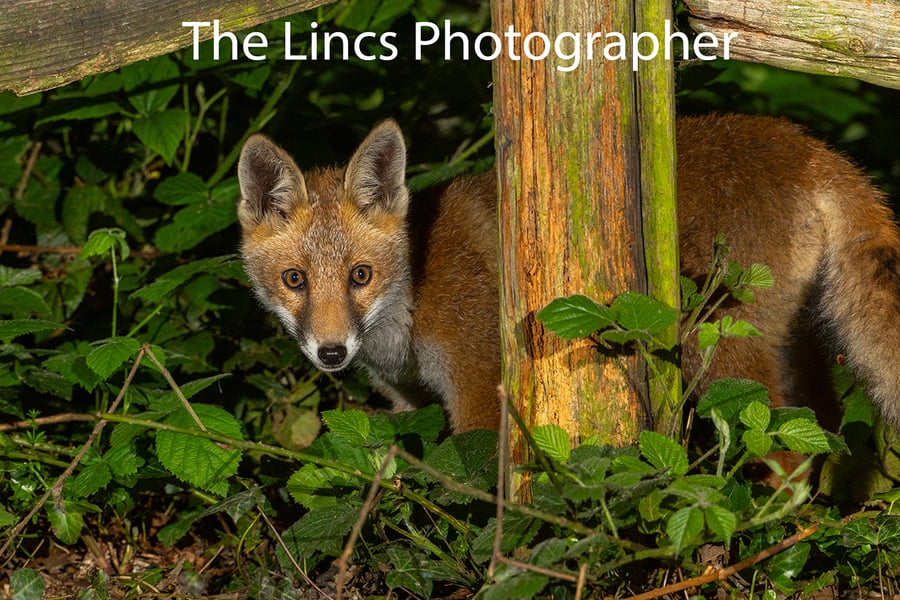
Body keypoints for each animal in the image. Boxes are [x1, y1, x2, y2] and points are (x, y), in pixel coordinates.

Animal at [237, 114, 900, 434]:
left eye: (360, 275)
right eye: (295, 280)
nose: (330, 353)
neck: (415, 295)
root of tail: (808, 148)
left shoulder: (481, 391)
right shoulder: (407, 402)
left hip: (713, 349)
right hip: (798, 348)